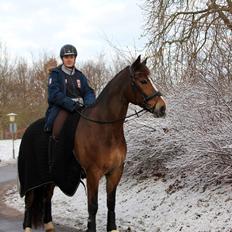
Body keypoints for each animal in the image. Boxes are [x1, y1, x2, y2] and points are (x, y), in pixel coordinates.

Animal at [19, 55, 165, 231]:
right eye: (143, 81)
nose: (162, 107)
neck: (104, 129)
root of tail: (28, 130)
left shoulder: (115, 172)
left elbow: (111, 202)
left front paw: (112, 227)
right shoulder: (93, 173)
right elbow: (93, 206)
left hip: (50, 178)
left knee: (47, 198)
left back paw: (49, 225)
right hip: (31, 179)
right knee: (29, 201)